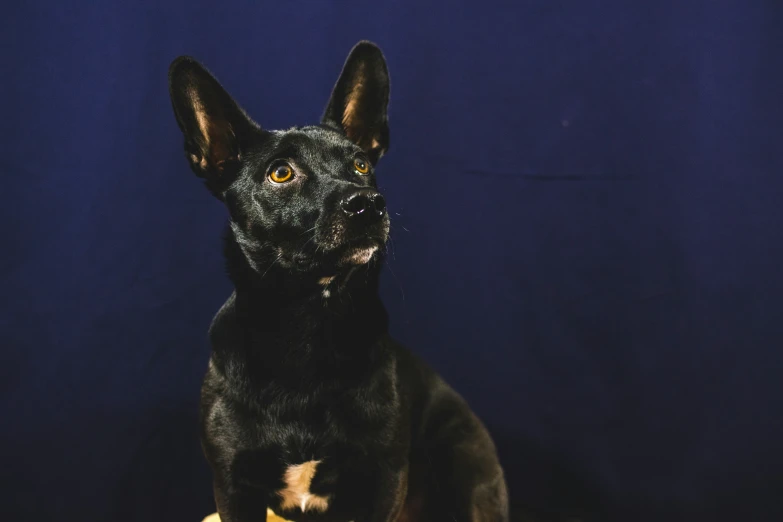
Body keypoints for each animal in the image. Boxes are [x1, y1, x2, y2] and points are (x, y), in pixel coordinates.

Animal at [169, 42, 512, 520]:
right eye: (281, 172)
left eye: (361, 164)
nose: (367, 203)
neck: (309, 325)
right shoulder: (233, 486)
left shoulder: (383, 479)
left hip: (470, 479)